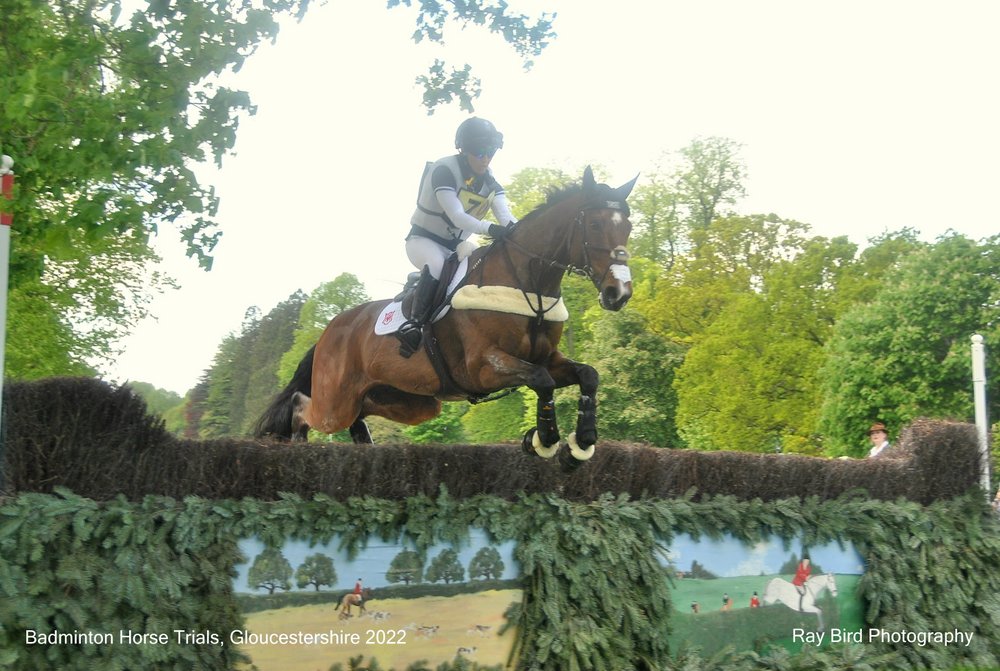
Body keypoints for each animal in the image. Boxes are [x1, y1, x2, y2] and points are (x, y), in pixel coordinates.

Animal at [254, 167, 636, 470]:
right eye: (595, 224)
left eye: (629, 227)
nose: (619, 292)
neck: (529, 287)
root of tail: (328, 331)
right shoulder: (482, 367)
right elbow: (541, 381)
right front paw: (543, 441)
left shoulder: (548, 357)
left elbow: (588, 375)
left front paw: (580, 446)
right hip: (337, 401)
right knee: (303, 408)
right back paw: (296, 447)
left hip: (409, 401)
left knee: (359, 415)